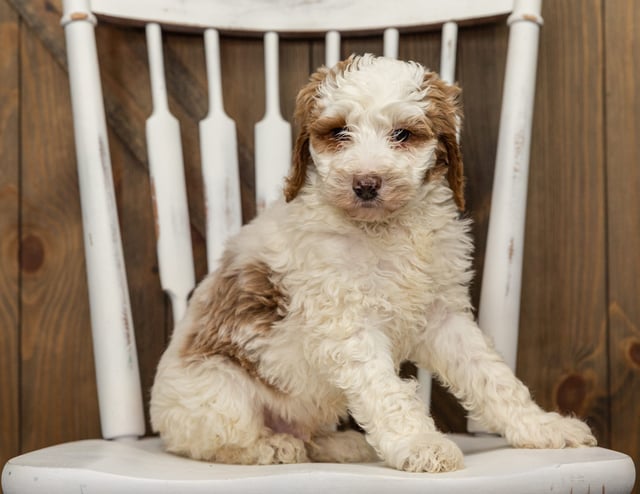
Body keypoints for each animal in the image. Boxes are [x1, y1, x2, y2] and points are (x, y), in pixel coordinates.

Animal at [149, 53, 596, 470]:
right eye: (339, 132)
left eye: (402, 134)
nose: (365, 184)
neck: (384, 229)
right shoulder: (347, 323)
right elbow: (384, 390)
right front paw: (421, 444)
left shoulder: (443, 315)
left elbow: (491, 375)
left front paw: (542, 427)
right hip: (220, 389)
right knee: (215, 442)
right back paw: (274, 446)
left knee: (309, 436)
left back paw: (341, 445)